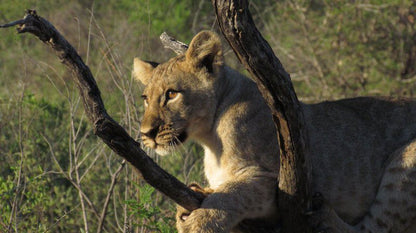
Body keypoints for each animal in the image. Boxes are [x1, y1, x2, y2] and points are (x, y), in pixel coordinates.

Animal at [133, 31, 416, 233]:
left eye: (172, 94)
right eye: (146, 98)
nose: (146, 133)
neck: (209, 140)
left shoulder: (277, 184)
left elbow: (235, 193)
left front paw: (198, 220)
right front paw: (194, 201)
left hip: (405, 162)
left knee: (375, 228)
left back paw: (325, 219)